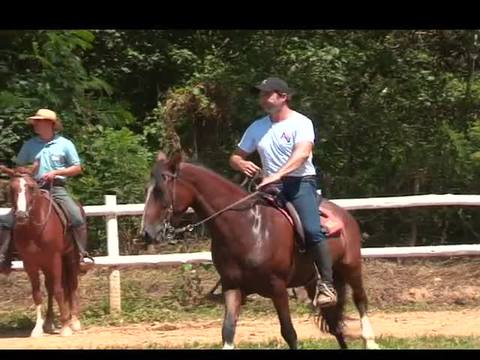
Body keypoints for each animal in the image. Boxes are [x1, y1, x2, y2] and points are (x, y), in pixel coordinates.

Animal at [1, 167, 82, 336]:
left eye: (31, 187)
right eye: (11, 188)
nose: (21, 215)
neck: (35, 229)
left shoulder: (55, 258)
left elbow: (59, 290)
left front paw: (65, 326)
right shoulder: (30, 263)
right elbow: (37, 293)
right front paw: (37, 328)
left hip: (70, 257)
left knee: (71, 284)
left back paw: (74, 321)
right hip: (45, 264)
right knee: (50, 287)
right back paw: (49, 322)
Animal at [142, 153, 378, 348]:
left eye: (160, 190)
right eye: (148, 189)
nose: (146, 232)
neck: (248, 227)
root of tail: (344, 215)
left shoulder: (278, 288)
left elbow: (289, 333)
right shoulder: (232, 287)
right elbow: (227, 332)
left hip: (351, 267)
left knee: (360, 300)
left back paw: (370, 340)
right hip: (313, 283)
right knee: (334, 325)